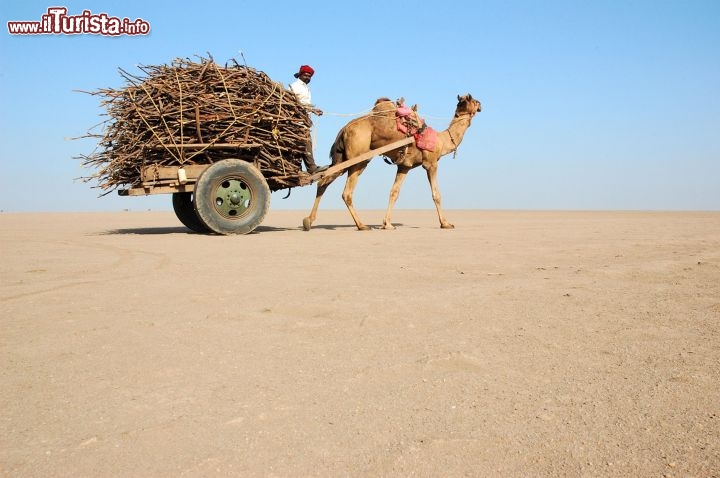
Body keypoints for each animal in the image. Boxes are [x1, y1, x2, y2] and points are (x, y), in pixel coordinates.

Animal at [300, 94, 480, 232]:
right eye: (473, 100)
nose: (481, 105)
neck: (441, 141)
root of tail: (344, 129)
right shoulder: (431, 163)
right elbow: (436, 194)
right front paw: (446, 223)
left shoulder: (404, 166)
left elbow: (394, 192)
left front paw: (387, 224)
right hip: (358, 158)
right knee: (346, 192)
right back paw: (362, 225)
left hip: (343, 158)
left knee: (323, 181)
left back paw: (308, 220)